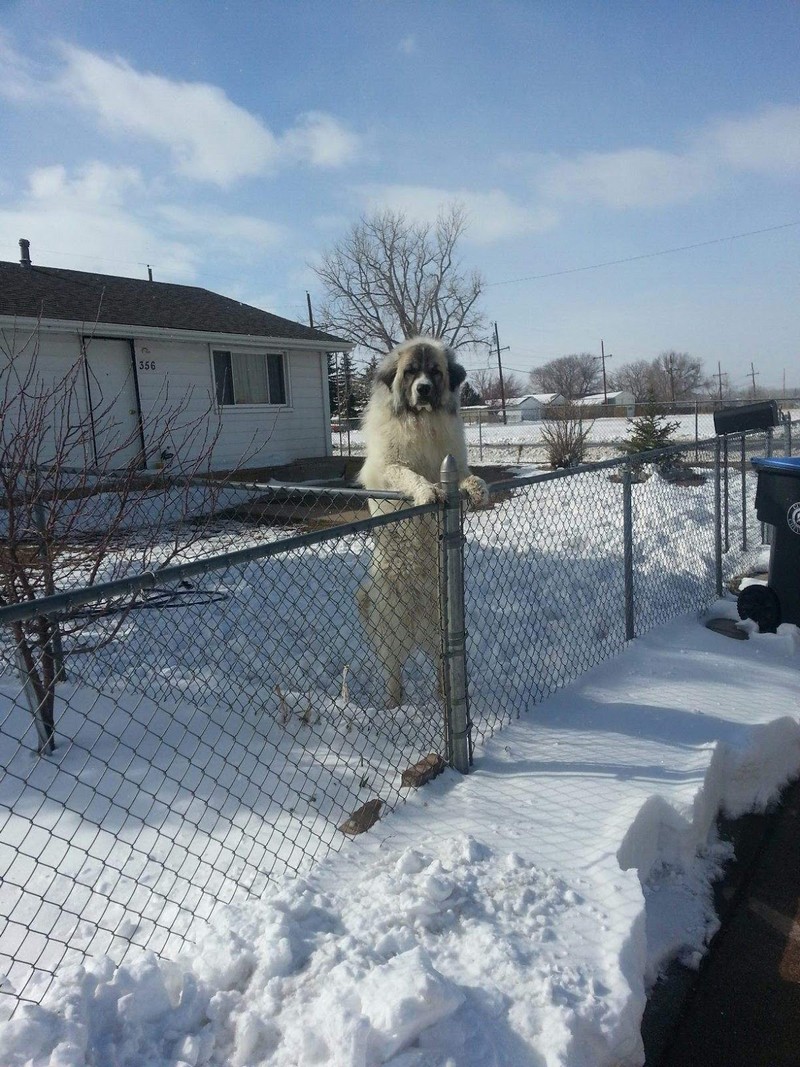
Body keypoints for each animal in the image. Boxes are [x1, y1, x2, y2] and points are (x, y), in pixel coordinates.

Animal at [356, 337, 488, 708]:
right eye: (411, 372)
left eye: (435, 371)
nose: (424, 389)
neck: (421, 424)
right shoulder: (389, 468)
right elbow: (409, 475)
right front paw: (427, 492)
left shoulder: (452, 464)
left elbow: (465, 477)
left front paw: (478, 488)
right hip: (392, 625)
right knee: (393, 672)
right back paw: (394, 706)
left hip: (441, 628)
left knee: (442, 665)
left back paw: (444, 696)